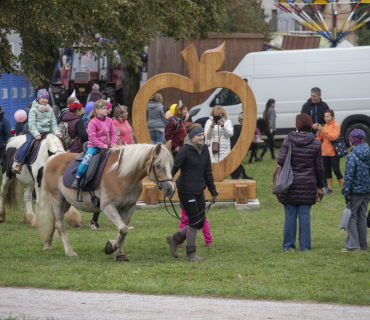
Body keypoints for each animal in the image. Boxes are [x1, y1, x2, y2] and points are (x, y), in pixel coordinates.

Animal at [36, 143, 176, 262]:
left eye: (171, 166)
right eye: (158, 165)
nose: (171, 189)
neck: (121, 175)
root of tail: (53, 158)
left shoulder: (129, 208)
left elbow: (123, 230)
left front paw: (119, 254)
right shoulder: (108, 207)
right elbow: (123, 229)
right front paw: (111, 247)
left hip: (65, 203)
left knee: (53, 222)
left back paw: (47, 244)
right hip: (57, 199)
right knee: (60, 225)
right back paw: (69, 251)